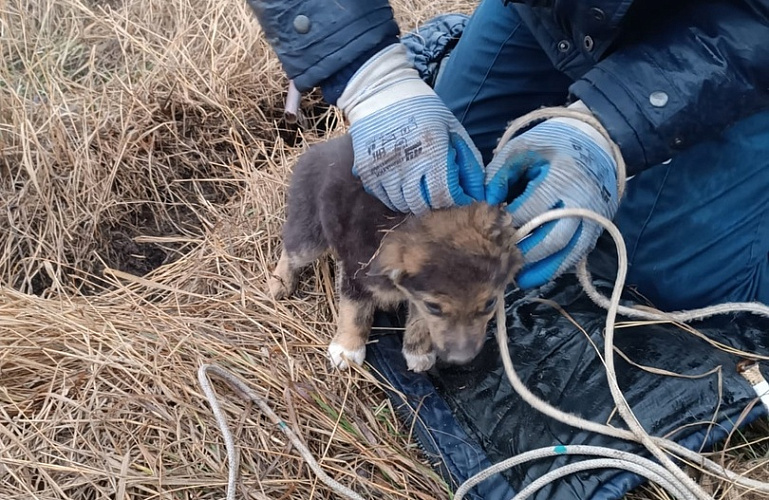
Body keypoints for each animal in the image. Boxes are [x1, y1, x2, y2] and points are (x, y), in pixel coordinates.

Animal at [268, 135, 524, 374]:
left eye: (491, 303)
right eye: (434, 307)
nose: (461, 360)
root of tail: (321, 147)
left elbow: (419, 321)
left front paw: (418, 352)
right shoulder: (356, 274)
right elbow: (354, 312)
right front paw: (347, 349)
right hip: (310, 231)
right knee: (291, 248)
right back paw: (278, 282)